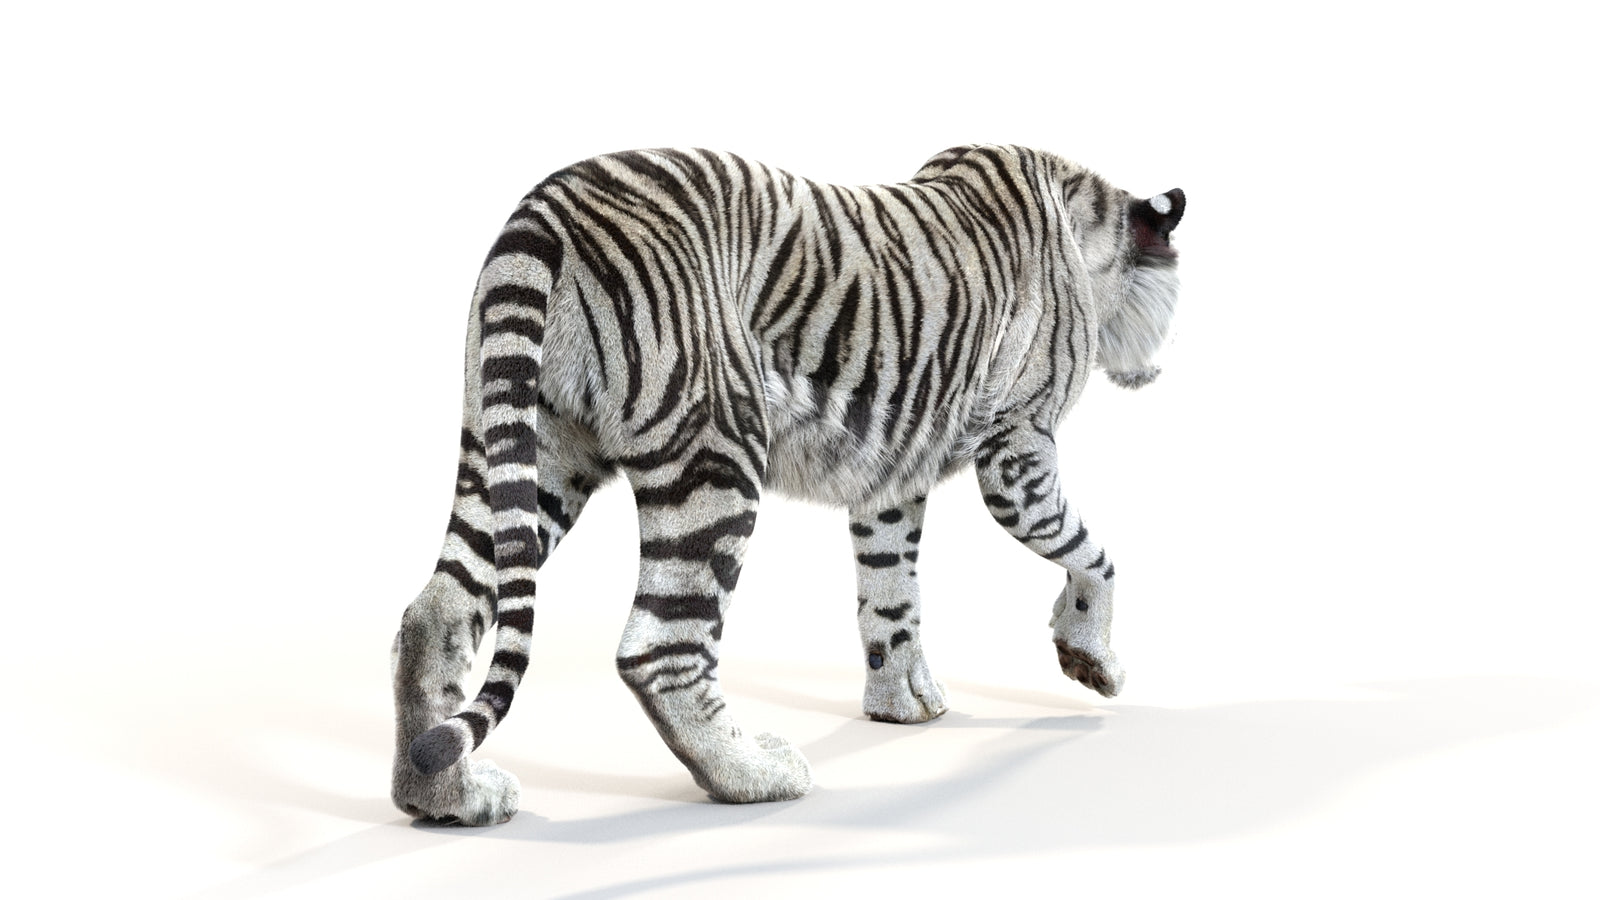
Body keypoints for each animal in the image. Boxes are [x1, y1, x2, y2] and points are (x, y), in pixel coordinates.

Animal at [390, 143, 1185, 825]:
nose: (1161, 366)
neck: (1089, 230)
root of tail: (550, 206)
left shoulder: (891, 481)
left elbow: (891, 595)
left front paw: (902, 702)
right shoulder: (1018, 450)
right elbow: (1093, 554)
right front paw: (1093, 663)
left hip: (529, 451)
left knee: (435, 612)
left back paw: (446, 797)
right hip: (714, 450)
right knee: (660, 646)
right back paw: (755, 774)